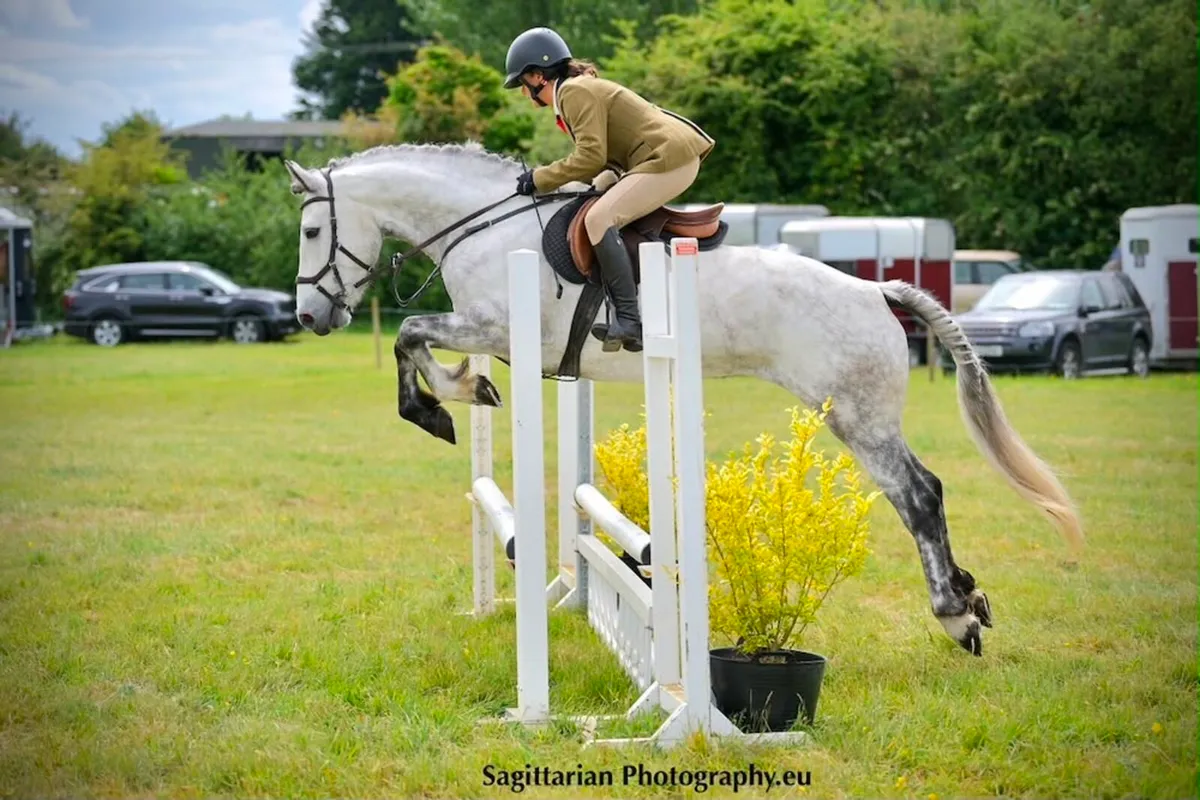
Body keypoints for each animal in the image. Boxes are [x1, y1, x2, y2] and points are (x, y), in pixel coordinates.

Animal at [283, 141, 1083, 656]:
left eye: (313, 229)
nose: (309, 317)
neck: (482, 224)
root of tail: (876, 289)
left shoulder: (499, 328)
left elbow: (409, 335)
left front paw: (442, 404)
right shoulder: (494, 333)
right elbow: (415, 340)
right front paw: (462, 391)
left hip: (857, 415)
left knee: (918, 494)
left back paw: (957, 616)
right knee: (922, 493)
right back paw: (970, 601)